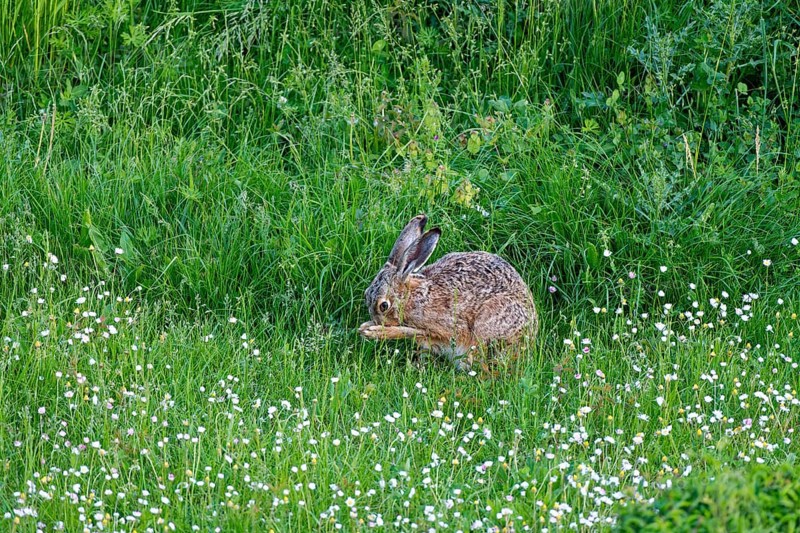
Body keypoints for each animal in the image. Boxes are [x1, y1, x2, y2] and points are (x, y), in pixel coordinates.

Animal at [359, 214, 538, 371]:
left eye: (384, 306)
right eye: (366, 294)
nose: (376, 322)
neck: (411, 298)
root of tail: (531, 336)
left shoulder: (447, 327)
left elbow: (416, 331)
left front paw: (374, 332)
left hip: (486, 327)